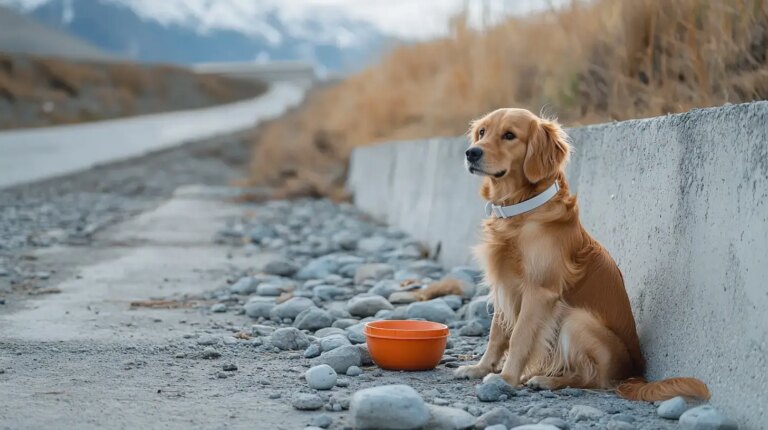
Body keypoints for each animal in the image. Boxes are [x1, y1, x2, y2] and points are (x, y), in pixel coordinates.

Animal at [452, 108, 712, 404]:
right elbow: (496, 334)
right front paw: (480, 367)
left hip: (576, 320)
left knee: (592, 378)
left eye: (509, 135)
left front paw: (505, 379)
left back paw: (547, 380)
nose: (471, 153)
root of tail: (634, 375)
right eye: (482, 132)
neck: (521, 211)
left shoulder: (539, 291)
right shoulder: (505, 285)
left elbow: (519, 336)